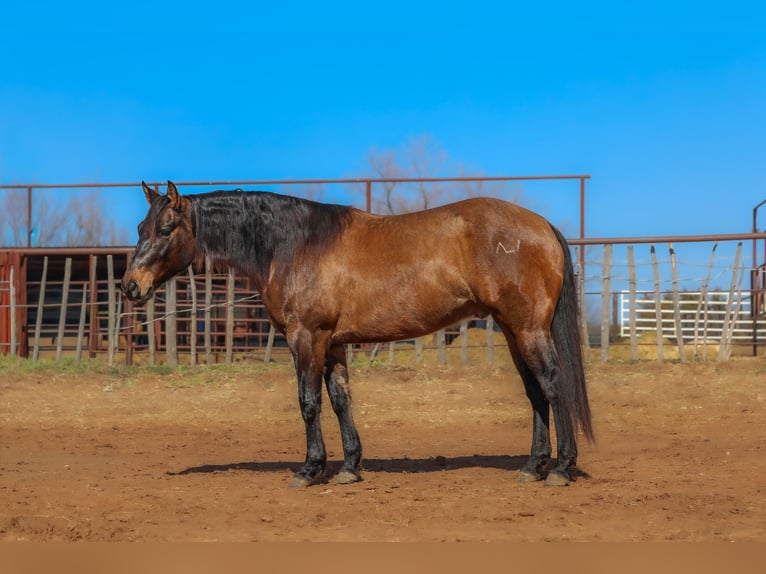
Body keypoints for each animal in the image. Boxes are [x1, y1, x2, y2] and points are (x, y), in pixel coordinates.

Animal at [121, 181, 594, 488]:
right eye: (142, 229)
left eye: (166, 229)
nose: (130, 285)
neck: (295, 244)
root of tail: (543, 226)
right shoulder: (332, 343)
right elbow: (340, 399)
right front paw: (349, 467)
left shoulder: (307, 337)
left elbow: (309, 402)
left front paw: (309, 470)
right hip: (515, 331)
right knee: (535, 392)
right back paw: (532, 466)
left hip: (528, 329)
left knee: (553, 385)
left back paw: (560, 469)